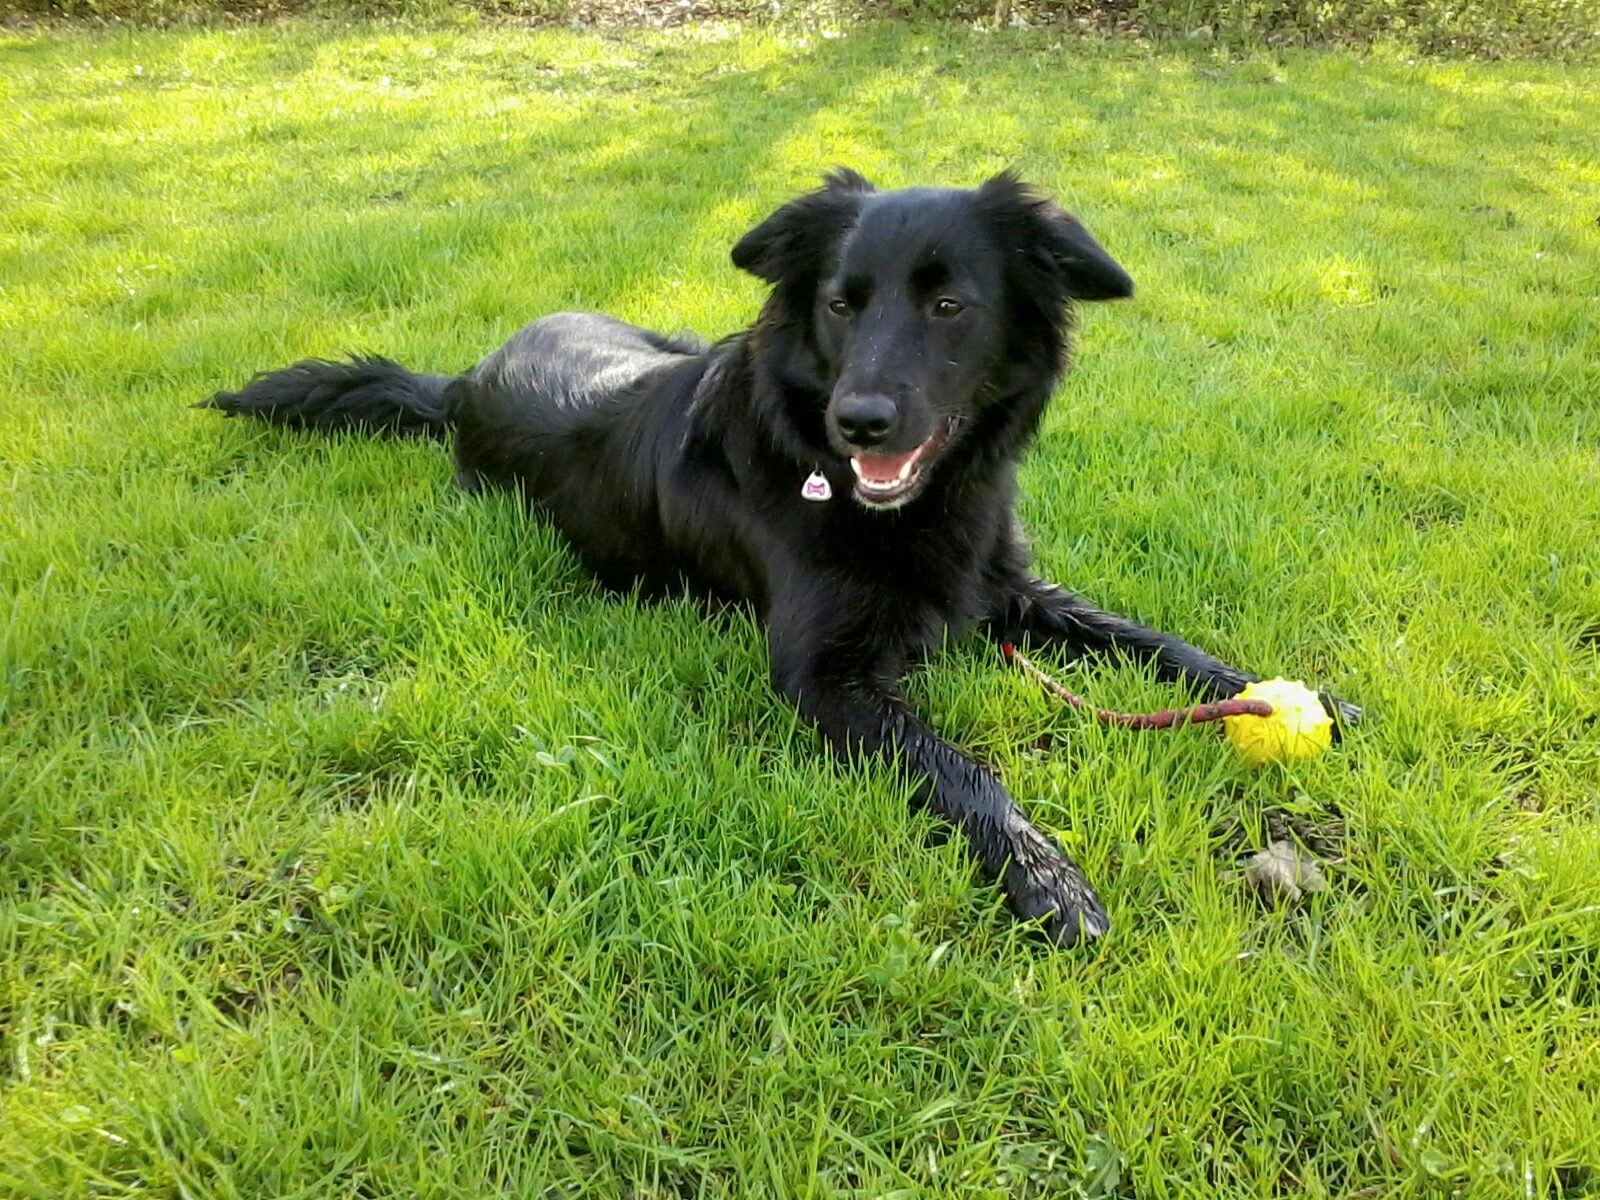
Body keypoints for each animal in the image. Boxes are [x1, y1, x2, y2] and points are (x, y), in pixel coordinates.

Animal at [196, 169, 1350, 947]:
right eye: (840, 302)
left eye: (949, 304)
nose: (860, 422)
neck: (898, 507)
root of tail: (463, 383)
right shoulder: (821, 676)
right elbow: (963, 768)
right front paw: (1047, 880)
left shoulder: (1008, 589)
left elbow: (1149, 639)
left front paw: (1280, 695)